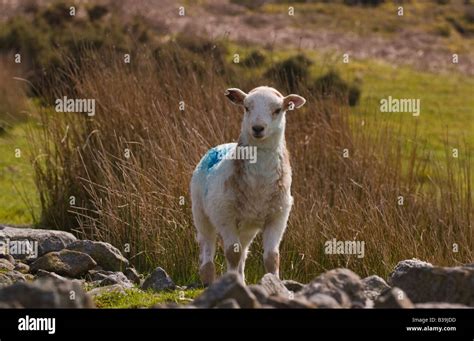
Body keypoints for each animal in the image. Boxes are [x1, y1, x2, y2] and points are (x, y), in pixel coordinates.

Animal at [190, 85, 306, 284]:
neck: (259, 183)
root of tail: (220, 146)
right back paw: (208, 278)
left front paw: (274, 281)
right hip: (201, 214)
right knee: (207, 246)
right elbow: (232, 253)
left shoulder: (278, 216)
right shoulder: (225, 215)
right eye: (246, 107)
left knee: (243, 251)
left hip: (247, 226)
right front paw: (231, 280)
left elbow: (272, 256)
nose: (257, 128)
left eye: (278, 110)